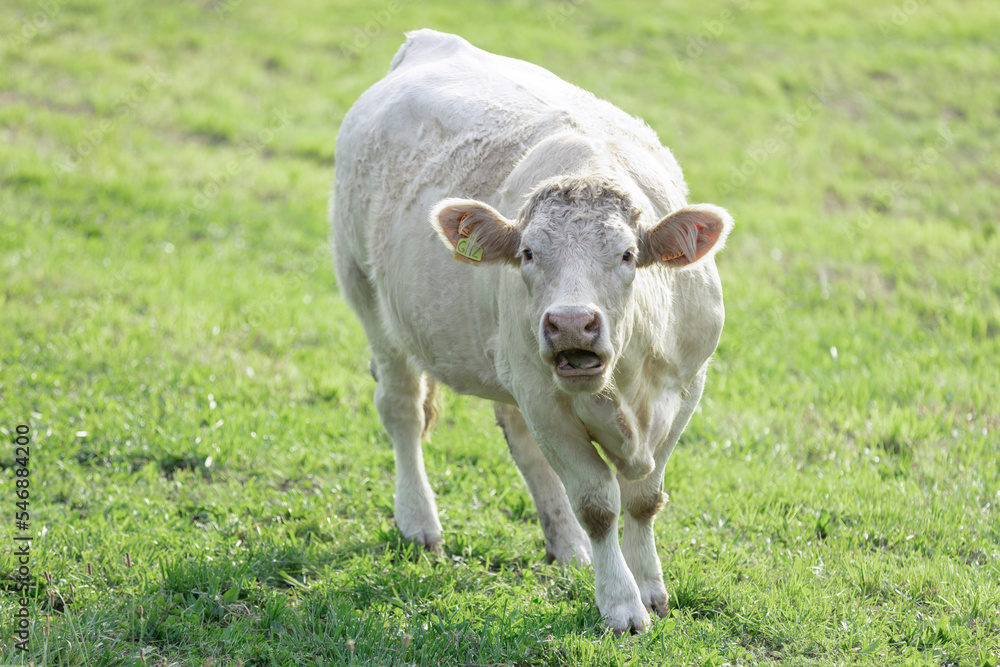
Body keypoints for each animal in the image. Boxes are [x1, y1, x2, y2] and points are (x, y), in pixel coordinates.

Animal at [331, 29, 733, 634]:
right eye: (527, 253)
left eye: (627, 253)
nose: (569, 322)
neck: (628, 383)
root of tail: (428, 41)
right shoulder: (546, 397)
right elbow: (599, 503)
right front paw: (622, 604)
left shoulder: (687, 388)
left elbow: (644, 498)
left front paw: (651, 588)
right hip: (366, 292)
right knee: (401, 408)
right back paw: (419, 522)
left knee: (520, 440)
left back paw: (566, 547)